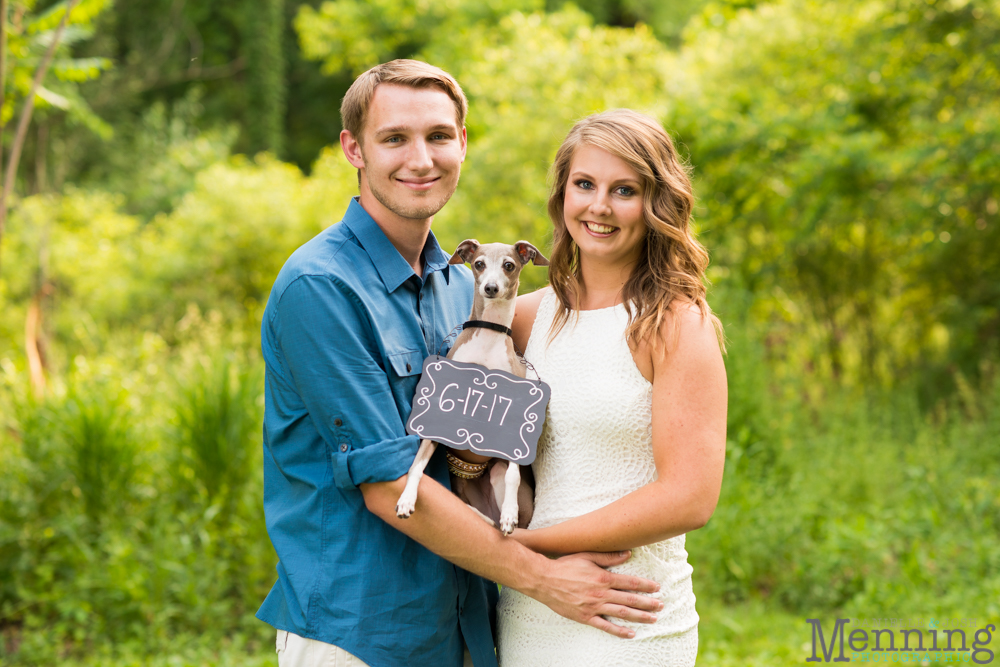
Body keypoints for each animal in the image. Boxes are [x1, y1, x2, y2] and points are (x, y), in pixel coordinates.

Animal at [392, 237, 548, 536]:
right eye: (479, 264)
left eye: (509, 265)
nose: (491, 287)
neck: (488, 334)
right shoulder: (438, 414)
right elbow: (417, 464)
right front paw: (406, 499)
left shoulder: (514, 420)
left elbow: (513, 474)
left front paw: (510, 512)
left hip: (498, 475)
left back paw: (506, 517)